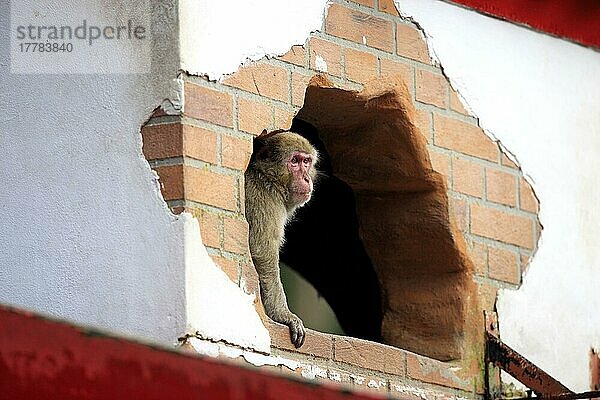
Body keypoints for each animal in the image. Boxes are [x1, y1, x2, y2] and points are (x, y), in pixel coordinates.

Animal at [244, 130, 318, 348]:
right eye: (294, 161)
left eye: (306, 162)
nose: (306, 178)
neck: (268, 180)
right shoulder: (265, 202)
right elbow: (263, 251)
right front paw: (282, 315)